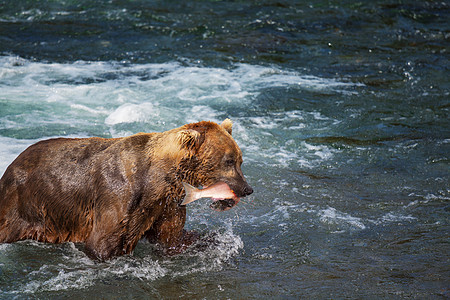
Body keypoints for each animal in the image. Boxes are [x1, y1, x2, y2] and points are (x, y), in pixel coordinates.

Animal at [0, 119, 251, 260]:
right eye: (229, 161)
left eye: (240, 160)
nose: (247, 188)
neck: (157, 180)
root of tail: (11, 165)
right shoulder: (117, 198)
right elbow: (102, 244)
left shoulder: (166, 204)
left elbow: (172, 238)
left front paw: (209, 240)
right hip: (24, 204)